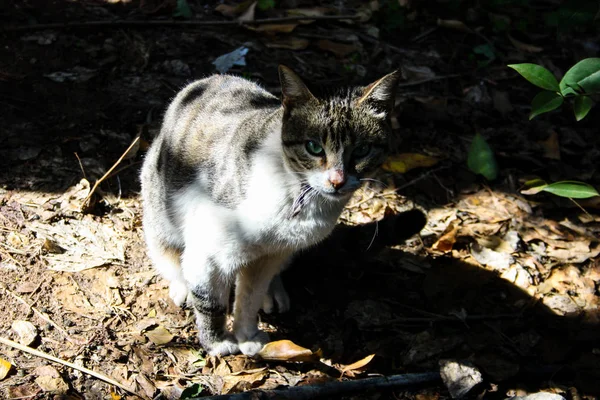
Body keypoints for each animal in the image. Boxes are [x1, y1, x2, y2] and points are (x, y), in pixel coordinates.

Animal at [141, 66, 400, 356]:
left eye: (362, 150)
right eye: (314, 147)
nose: (337, 181)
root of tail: (209, 78)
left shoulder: (271, 255)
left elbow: (249, 298)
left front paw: (247, 335)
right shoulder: (207, 255)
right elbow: (211, 303)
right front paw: (218, 342)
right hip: (159, 215)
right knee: (169, 257)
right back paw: (182, 286)